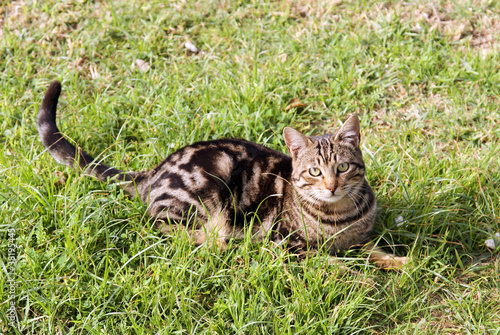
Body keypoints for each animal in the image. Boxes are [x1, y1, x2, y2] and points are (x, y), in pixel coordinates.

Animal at [38, 81, 406, 270]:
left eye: (342, 167)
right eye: (315, 171)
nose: (331, 187)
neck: (338, 215)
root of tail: (153, 172)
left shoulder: (358, 238)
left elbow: (372, 249)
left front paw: (399, 261)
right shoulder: (286, 242)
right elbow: (326, 261)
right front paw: (355, 273)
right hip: (209, 187)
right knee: (169, 231)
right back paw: (222, 242)